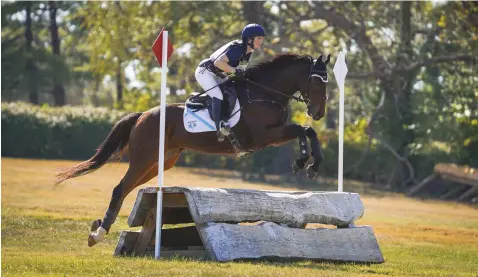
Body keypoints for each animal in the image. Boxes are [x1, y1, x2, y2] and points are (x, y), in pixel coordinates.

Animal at [54, 51, 330, 246]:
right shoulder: (263, 136)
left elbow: (308, 131)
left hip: (161, 162)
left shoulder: (273, 135)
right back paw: (99, 234)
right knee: (120, 188)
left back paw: (98, 229)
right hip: (145, 158)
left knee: (127, 188)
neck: (264, 93)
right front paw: (303, 161)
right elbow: (301, 129)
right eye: (317, 83)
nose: (319, 113)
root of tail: (142, 115)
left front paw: (312, 166)